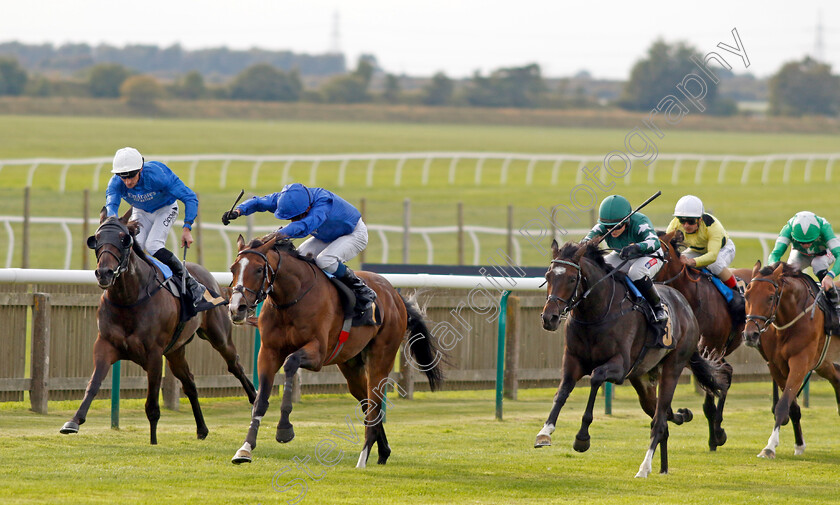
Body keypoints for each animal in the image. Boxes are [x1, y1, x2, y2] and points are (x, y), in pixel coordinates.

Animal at [60, 208, 256, 440]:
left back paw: (254, 399)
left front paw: (153, 439)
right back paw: (202, 429)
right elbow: (93, 384)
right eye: (96, 238)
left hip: (219, 336)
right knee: (189, 383)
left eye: (124, 239)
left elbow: (152, 402)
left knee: (234, 364)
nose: (104, 273)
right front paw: (73, 421)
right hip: (175, 351)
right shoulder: (105, 345)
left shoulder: (154, 354)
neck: (129, 299)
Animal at [223, 234, 446, 466]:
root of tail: (395, 295)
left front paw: (284, 429)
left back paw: (363, 458)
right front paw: (245, 449)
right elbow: (260, 400)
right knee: (367, 404)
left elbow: (291, 363)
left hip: (381, 358)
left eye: (259, 269)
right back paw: (383, 450)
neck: (291, 298)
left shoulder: (318, 353)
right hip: (351, 365)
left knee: (374, 403)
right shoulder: (268, 353)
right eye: (233, 268)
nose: (236, 308)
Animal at [540, 240, 728, 476]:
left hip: (672, 367)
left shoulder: (619, 366)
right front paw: (545, 432)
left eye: (572, 279)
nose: (549, 317)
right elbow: (562, 391)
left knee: (659, 421)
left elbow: (596, 377)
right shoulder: (573, 361)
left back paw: (644, 468)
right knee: (662, 416)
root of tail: (687, 308)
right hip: (643, 379)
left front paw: (582, 438)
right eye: (548, 276)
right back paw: (669, 450)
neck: (597, 312)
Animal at [656, 230, 756, 450]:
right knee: (727, 373)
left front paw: (717, 435)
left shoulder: (709, 350)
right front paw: (684, 415)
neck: (691, 298)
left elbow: (712, 393)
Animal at [740, 262, 840, 458]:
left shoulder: (800, 362)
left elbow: (782, 404)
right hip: (826, 364)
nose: (750, 335)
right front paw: (799, 445)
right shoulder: (776, 366)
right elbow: (791, 407)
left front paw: (769, 447)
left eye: (771, 297)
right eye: (747, 295)